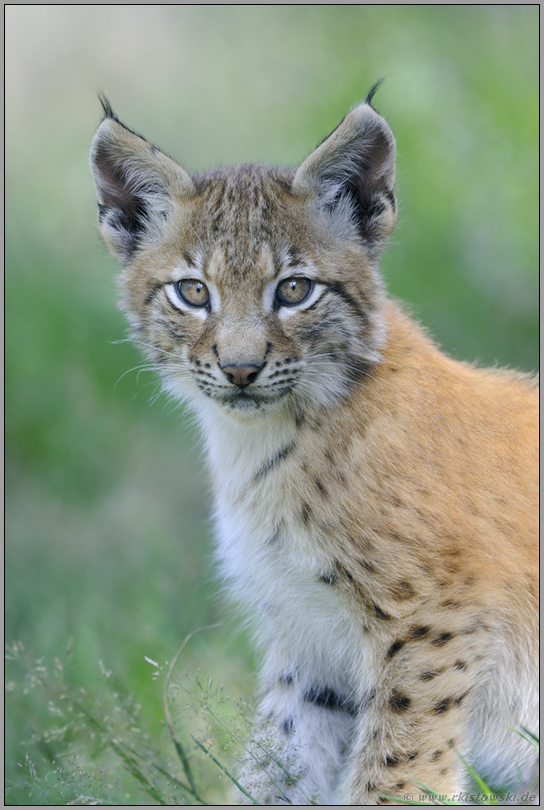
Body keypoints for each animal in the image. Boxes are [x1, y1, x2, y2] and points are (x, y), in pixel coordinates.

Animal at [91, 90, 536, 800]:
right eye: (194, 292)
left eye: (295, 290)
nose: (241, 369)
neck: (260, 442)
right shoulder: (307, 636)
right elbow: (278, 757)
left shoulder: (437, 614)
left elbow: (396, 766)